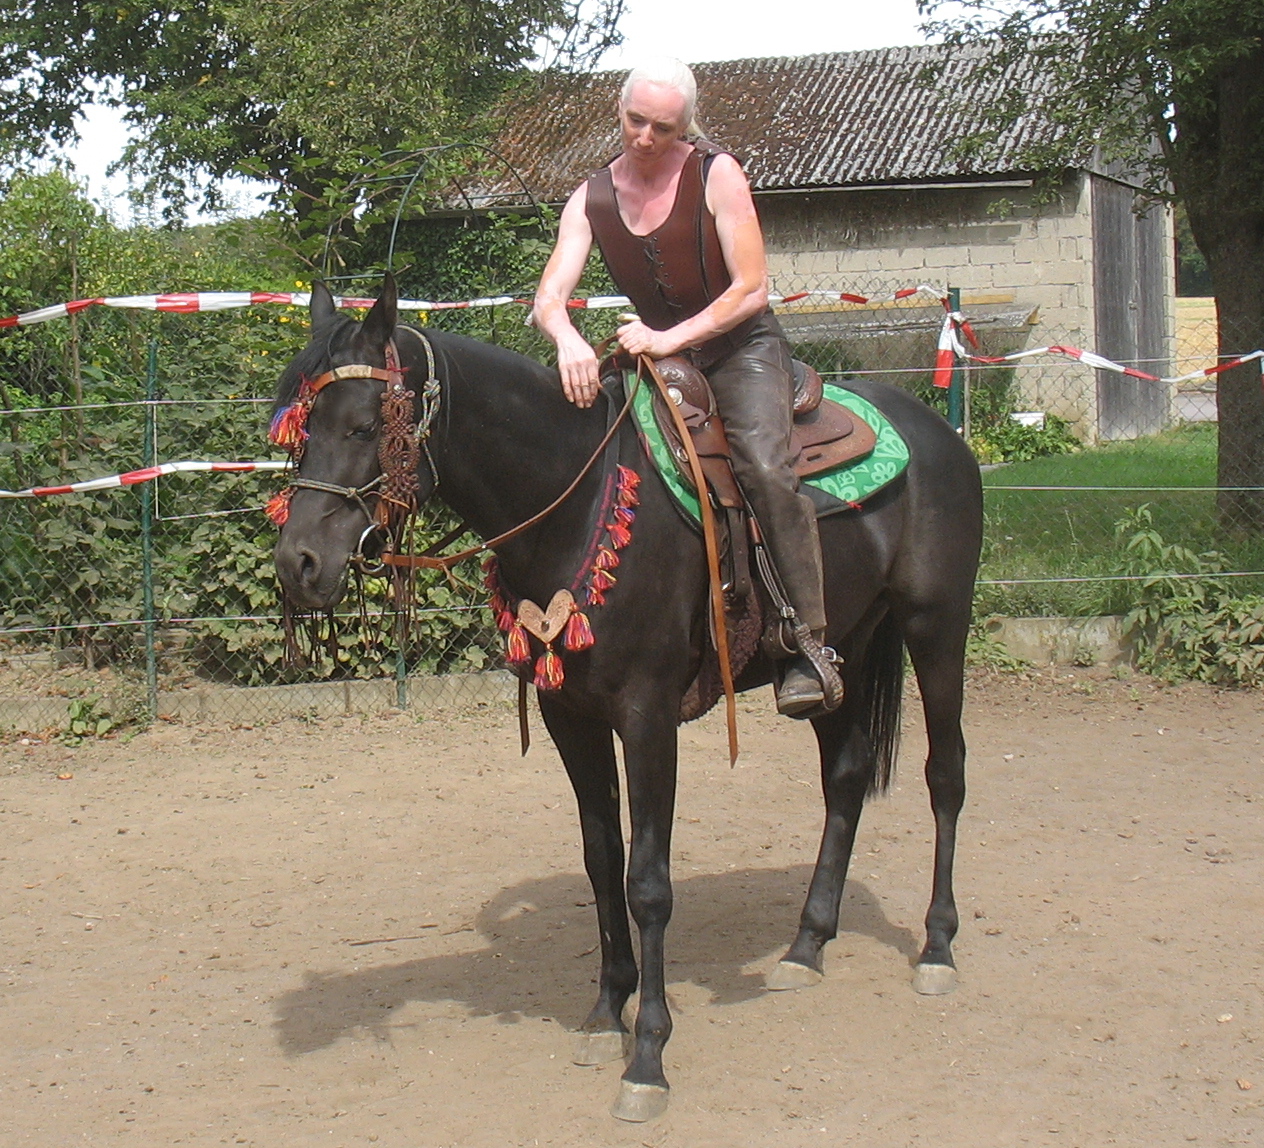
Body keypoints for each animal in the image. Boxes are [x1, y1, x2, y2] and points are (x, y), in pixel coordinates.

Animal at [272, 277, 983, 1122]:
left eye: (360, 424)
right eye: (300, 430)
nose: (297, 563)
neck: (575, 498)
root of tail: (938, 432)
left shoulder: (648, 721)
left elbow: (648, 882)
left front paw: (648, 1054)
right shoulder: (570, 720)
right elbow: (601, 860)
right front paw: (606, 1013)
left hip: (937, 629)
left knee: (946, 776)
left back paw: (938, 947)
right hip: (846, 649)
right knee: (844, 779)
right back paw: (806, 946)